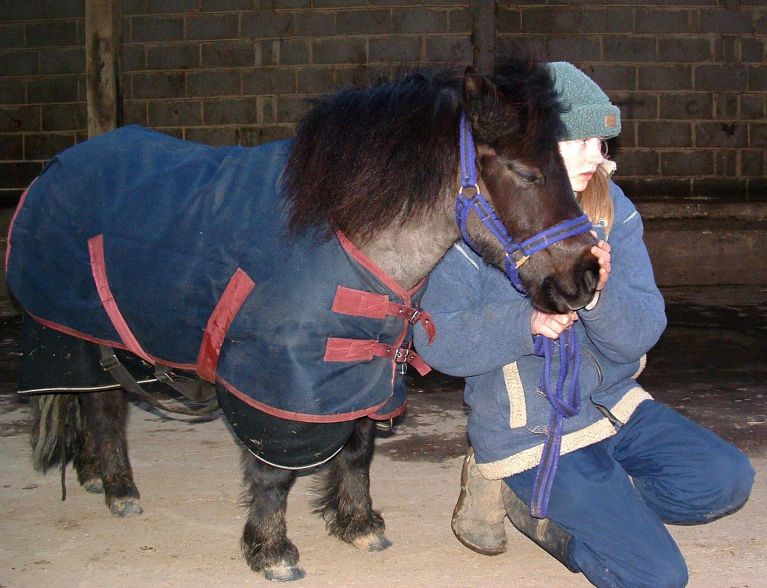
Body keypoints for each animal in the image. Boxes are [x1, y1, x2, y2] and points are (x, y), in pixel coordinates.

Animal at [5, 55, 600, 581]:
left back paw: (93, 477)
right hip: (71, 335)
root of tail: (56, 169)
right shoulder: (275, 385)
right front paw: (271, 551)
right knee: (104, 406)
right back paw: (120, 489)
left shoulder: (363, 369)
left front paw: (358, 524)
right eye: (526, 172)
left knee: (93, 400)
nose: (587, 276)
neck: (342, 237)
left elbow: (357, 450)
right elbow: (272, 472)